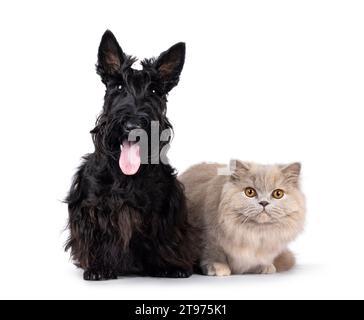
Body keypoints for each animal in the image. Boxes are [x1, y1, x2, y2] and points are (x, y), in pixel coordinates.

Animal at [65, 30, 196, 280]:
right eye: (118, 87)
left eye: (154, 91)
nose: (133, 125)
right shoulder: (91, 206)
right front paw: (98, 268)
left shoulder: (164, 207)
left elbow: (164, 238)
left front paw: (169, 266)